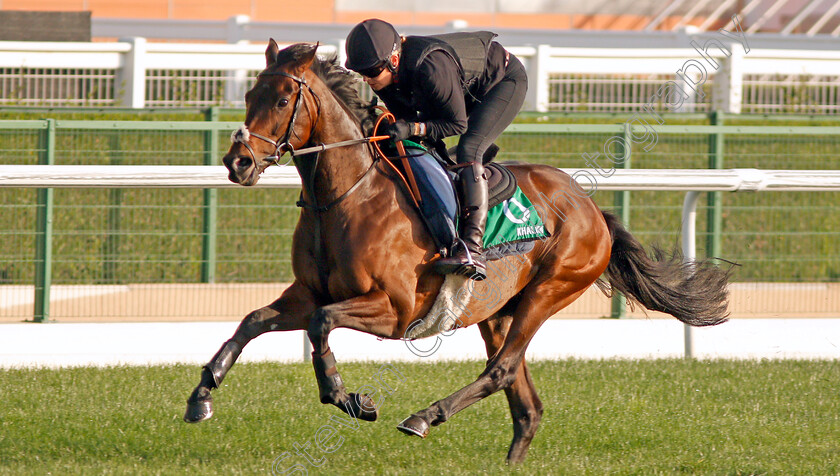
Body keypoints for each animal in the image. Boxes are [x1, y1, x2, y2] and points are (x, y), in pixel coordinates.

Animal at [184, 41, 728, 464]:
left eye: (281, 100)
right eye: (248, 95)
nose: (238, 161)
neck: (346, 197)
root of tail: (591, 207)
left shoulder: (396, 310)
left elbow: (321, 324)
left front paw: (347, 397)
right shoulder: (307, 292)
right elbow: (253, 320)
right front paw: (201, 395)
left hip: (550, 289)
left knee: (502, 370)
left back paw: (425, 416)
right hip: (496, 310)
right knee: (523, 399)